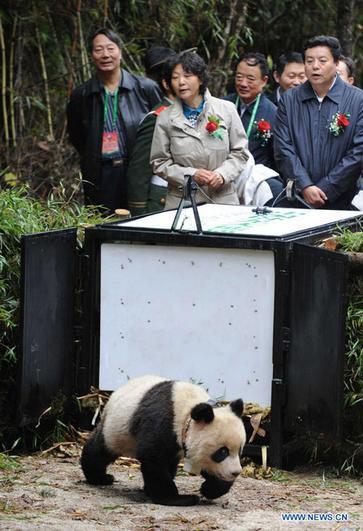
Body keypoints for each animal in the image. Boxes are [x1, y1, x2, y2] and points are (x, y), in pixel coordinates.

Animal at [82, 374, 247, 508]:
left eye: (239, 450)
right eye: (222, 452)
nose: (235, 472)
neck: (188, 413)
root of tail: (114, 394)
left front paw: (210, 489)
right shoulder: (163, 422)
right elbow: (154, 460)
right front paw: (179, 499)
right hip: (117, 428)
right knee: (100, 449)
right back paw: (100, 477)